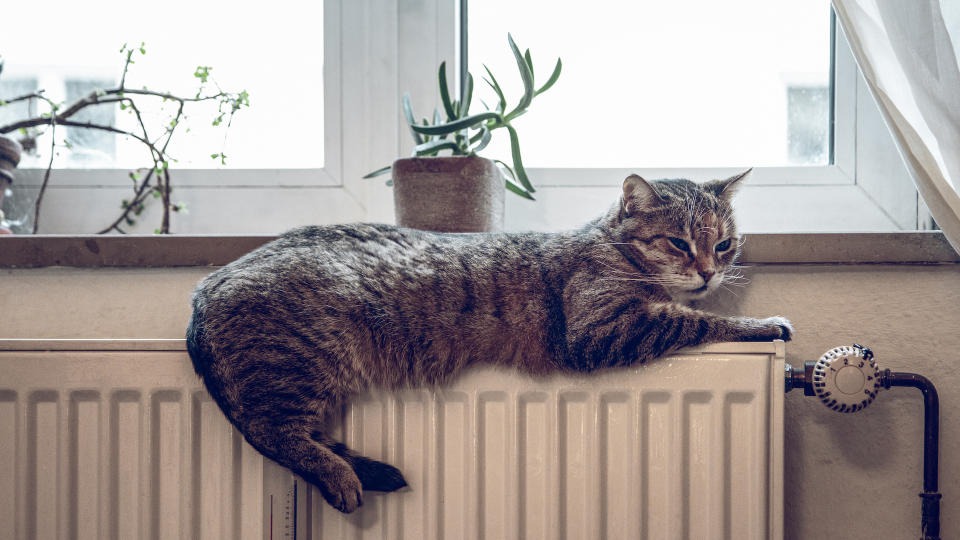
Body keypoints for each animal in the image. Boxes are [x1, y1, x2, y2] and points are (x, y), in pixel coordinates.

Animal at [184, 171, 792, 512]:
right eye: (679, 243)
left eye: (725, 244)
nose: (710, 273)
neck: (610, 247)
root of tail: (204, 288)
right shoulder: (601, 328)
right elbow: (694, 320)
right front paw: (760, 323)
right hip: (300, 363)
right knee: (272, 433)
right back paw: (339, 477)